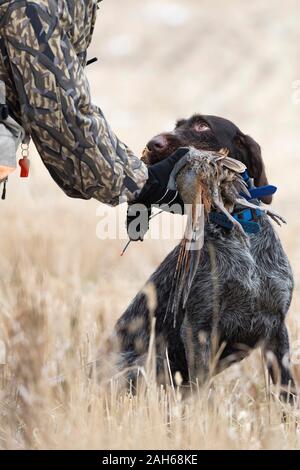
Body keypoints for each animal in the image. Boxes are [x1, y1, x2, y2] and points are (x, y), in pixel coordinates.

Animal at [113, 114, 294, 400]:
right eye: (177, 126)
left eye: (202, 126)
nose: (153, 143)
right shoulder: (198, 329)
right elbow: (201, 390)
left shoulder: (277, 328)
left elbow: (288, 391)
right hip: (137, 364)